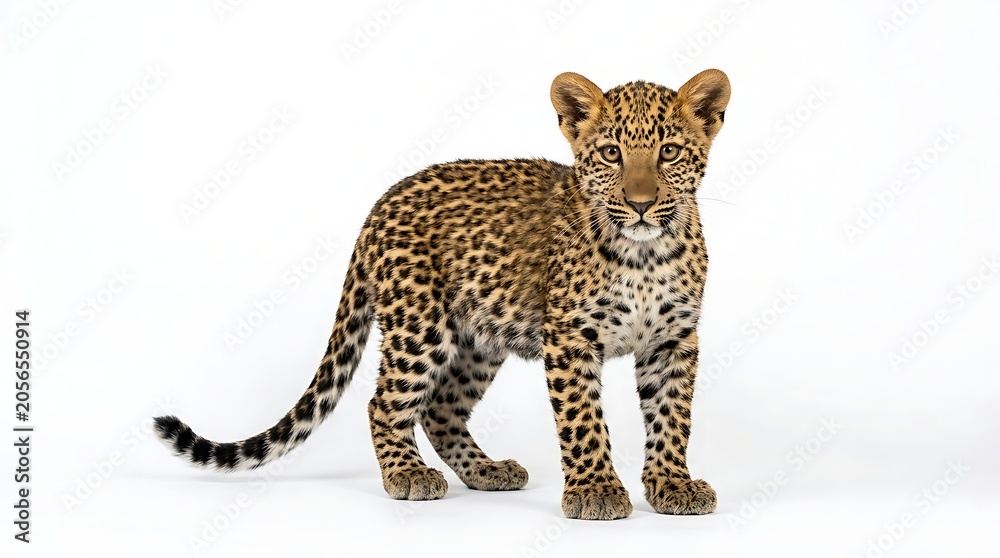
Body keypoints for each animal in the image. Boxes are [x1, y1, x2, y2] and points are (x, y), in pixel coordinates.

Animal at [154, 68, 731, 520]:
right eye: (612, 154)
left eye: (669, 153)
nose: (640, 203)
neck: (646, 256)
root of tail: (377, 207)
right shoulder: (571, 338)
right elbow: (583, 419)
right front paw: (596, 491)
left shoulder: (674, 340)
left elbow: (672, 415)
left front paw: (672, 484)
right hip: (419, 327)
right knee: (384, 403)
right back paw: (408, 475)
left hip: (479, 339)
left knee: (441, 409)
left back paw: (488, 471)